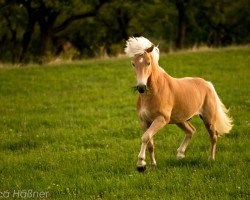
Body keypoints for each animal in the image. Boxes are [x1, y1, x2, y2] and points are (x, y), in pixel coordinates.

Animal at [124, 36, 233, 171]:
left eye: (148, 62)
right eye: (133, 63)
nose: (141, 87)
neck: (154, 93)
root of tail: (207, 84)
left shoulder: (161, 119)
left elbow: (145, 137)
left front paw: (140, 164)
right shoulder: (144, 121)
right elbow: (150, 143)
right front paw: (152, 165)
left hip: (208, 119)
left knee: (214, 136)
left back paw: (210, 159)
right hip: (180, 120)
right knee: (191, 131)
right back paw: (180, 154)